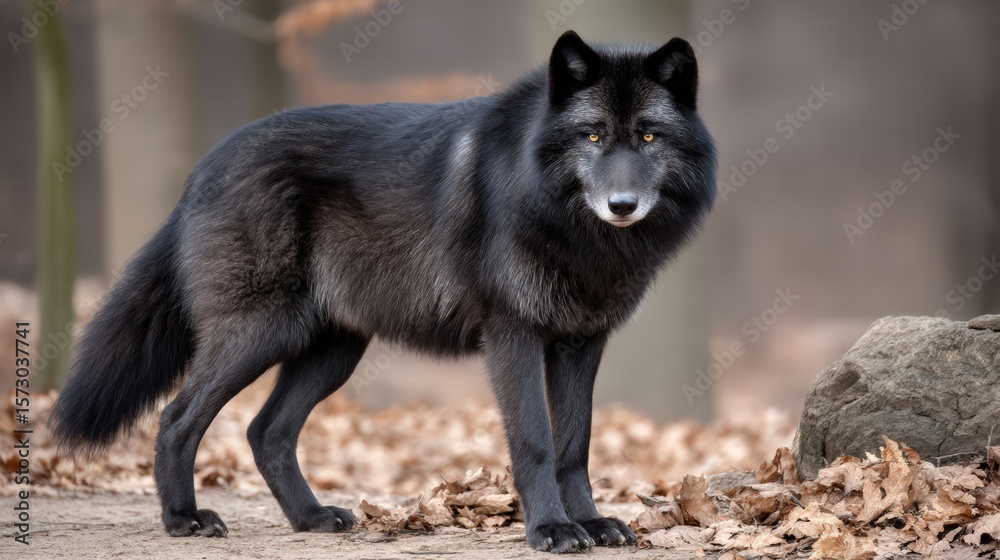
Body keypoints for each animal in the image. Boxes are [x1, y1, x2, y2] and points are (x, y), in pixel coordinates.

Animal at [50, 31, 716, 553]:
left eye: (649, 138)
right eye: (595, 137)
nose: (622, 205)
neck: (563, 219)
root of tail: (201, 169)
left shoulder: (582, 344)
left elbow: (575, 444)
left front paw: (592, 524)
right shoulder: (513, 336)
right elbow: (534, 441)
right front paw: (551, 530)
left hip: (333, 352)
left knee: (265, 431)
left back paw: (312, 518)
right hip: (258, 336)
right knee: (176, 417)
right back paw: (183, 519)